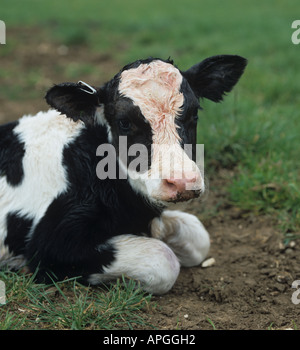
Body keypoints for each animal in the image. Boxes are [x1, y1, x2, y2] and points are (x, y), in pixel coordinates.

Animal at [0, 55, 247, 296]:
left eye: (194, 114)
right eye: (124, 122)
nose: (182, 182)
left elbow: (198, 237)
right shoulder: (51, 246)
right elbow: (162, 260)